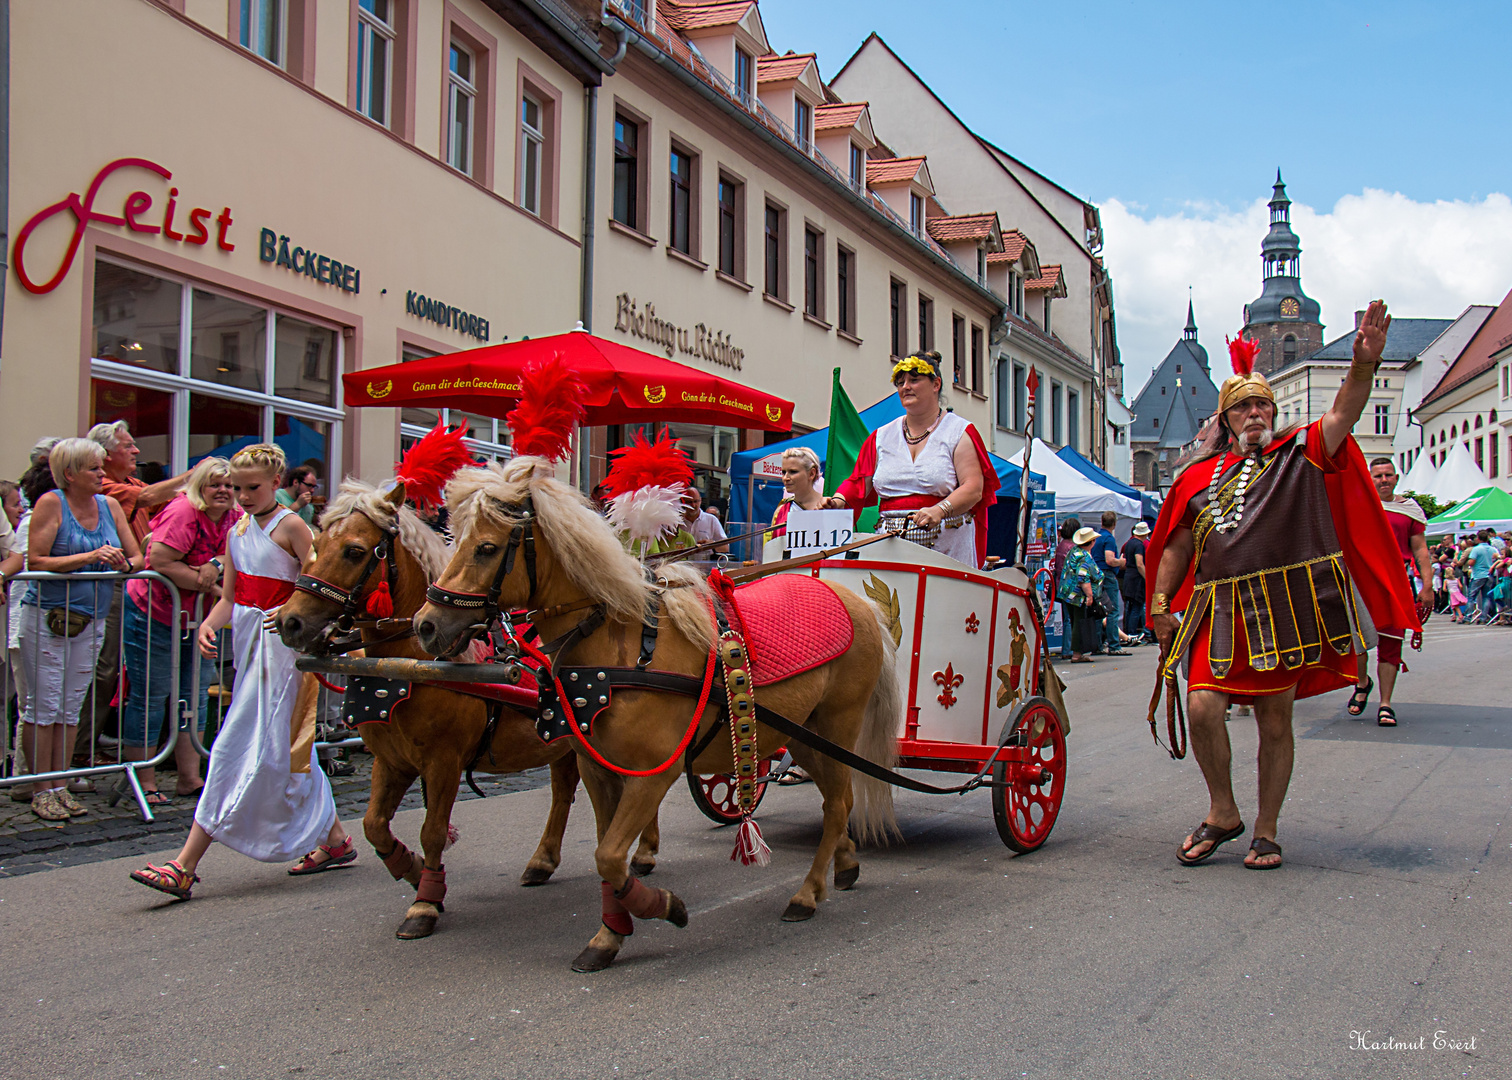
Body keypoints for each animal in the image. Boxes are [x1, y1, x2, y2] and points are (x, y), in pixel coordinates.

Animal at [281, 474, 659, 937]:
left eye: (354, 550)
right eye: (315, 543)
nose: (289, 621)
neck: (410, 663)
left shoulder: (443, 761)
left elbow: (432, 831)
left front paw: (424, 901)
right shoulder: (390, 760)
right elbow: (374, 827)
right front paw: (413, 870)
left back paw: (643, 851)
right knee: (564, 790)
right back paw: (546, 860)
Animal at [417, 450, 895, 974]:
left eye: (485, 548)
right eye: (453, 537)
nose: (426, 625)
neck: (624, 651)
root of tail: (859, 603)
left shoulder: (652, 775)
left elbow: (609, 855)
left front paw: (662, 906)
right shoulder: (599, 771)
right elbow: (606, 854)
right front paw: (611, 933)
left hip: (837, 727)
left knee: (838, 804)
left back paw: (807, 894)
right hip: (801, 736)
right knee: (838, 799)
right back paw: (844, 864)